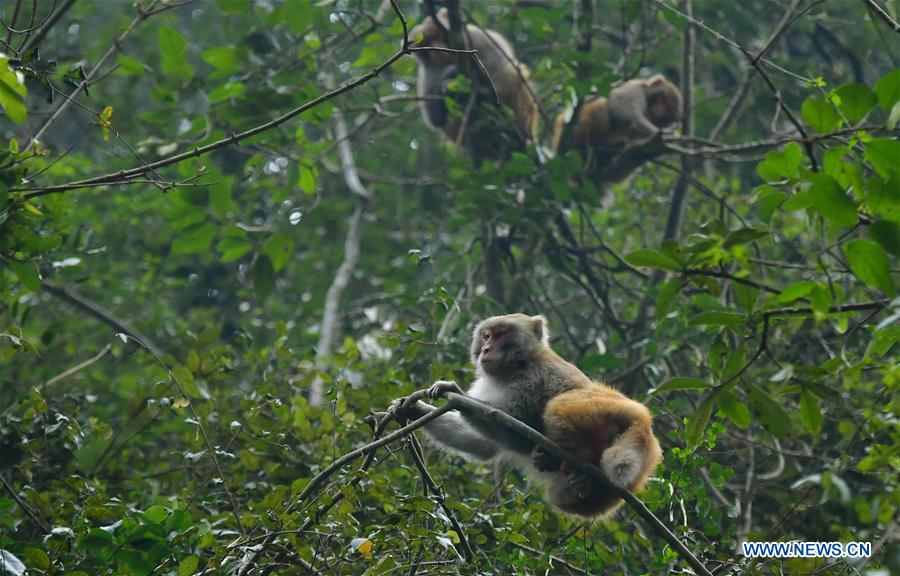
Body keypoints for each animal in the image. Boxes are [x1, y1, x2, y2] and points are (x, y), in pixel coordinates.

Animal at [395, 313, 661, 518]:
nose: (485, 349)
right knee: (558, 495)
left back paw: (564, 460)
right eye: (486, 335)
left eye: (500, 334)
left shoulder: (534, 380)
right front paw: (412, 409)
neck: (516, 365)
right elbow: (483, 446)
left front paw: (454, 392)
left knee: (558, 405)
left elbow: (514, 425)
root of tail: (644, 422)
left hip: (604, 407)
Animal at [408, 9, 538, 161]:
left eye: (436, 36)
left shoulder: (478, 38)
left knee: (513, 74)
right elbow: (436, 119)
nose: (436, 47)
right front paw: (448, 78)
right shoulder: (427, 73)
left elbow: (500, 68)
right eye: (427, 42)